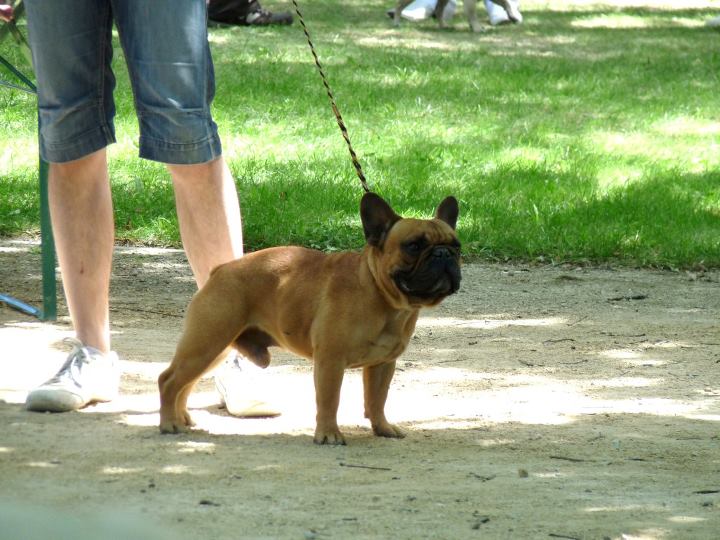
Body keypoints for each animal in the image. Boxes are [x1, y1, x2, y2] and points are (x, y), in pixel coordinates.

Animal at [158, 193, 461, 445]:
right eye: (414, 246)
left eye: (457, 246)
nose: (444, 254)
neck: (382, 296)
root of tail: (220, 270)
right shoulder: (330, 360)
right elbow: (329, 399)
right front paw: (328, 434)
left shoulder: (383, 364)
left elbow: (377, 399)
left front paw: (383, 428)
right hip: (208, 340)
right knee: (169, 380)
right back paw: (169, 423)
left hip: (213, 348)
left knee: (186, 382)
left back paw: (181, 417)